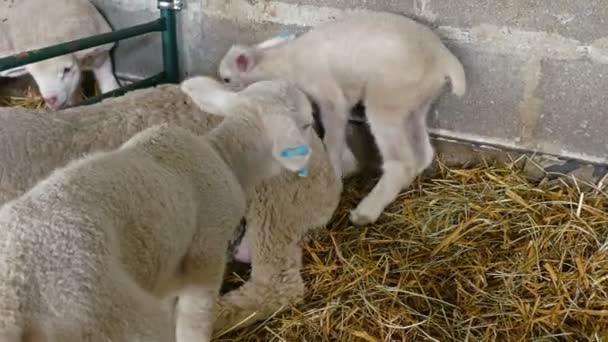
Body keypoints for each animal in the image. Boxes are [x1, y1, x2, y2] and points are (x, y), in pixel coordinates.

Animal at [217, 12, 466, 227]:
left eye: (227, 79)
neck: (284, 63)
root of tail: (444, 58)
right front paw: (347, 166)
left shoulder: (330, 96)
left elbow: (332, 137)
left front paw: (335, 174)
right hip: (415, 102)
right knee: (422, 153)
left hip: (387, 98)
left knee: (402, 163)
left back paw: (366, 212)